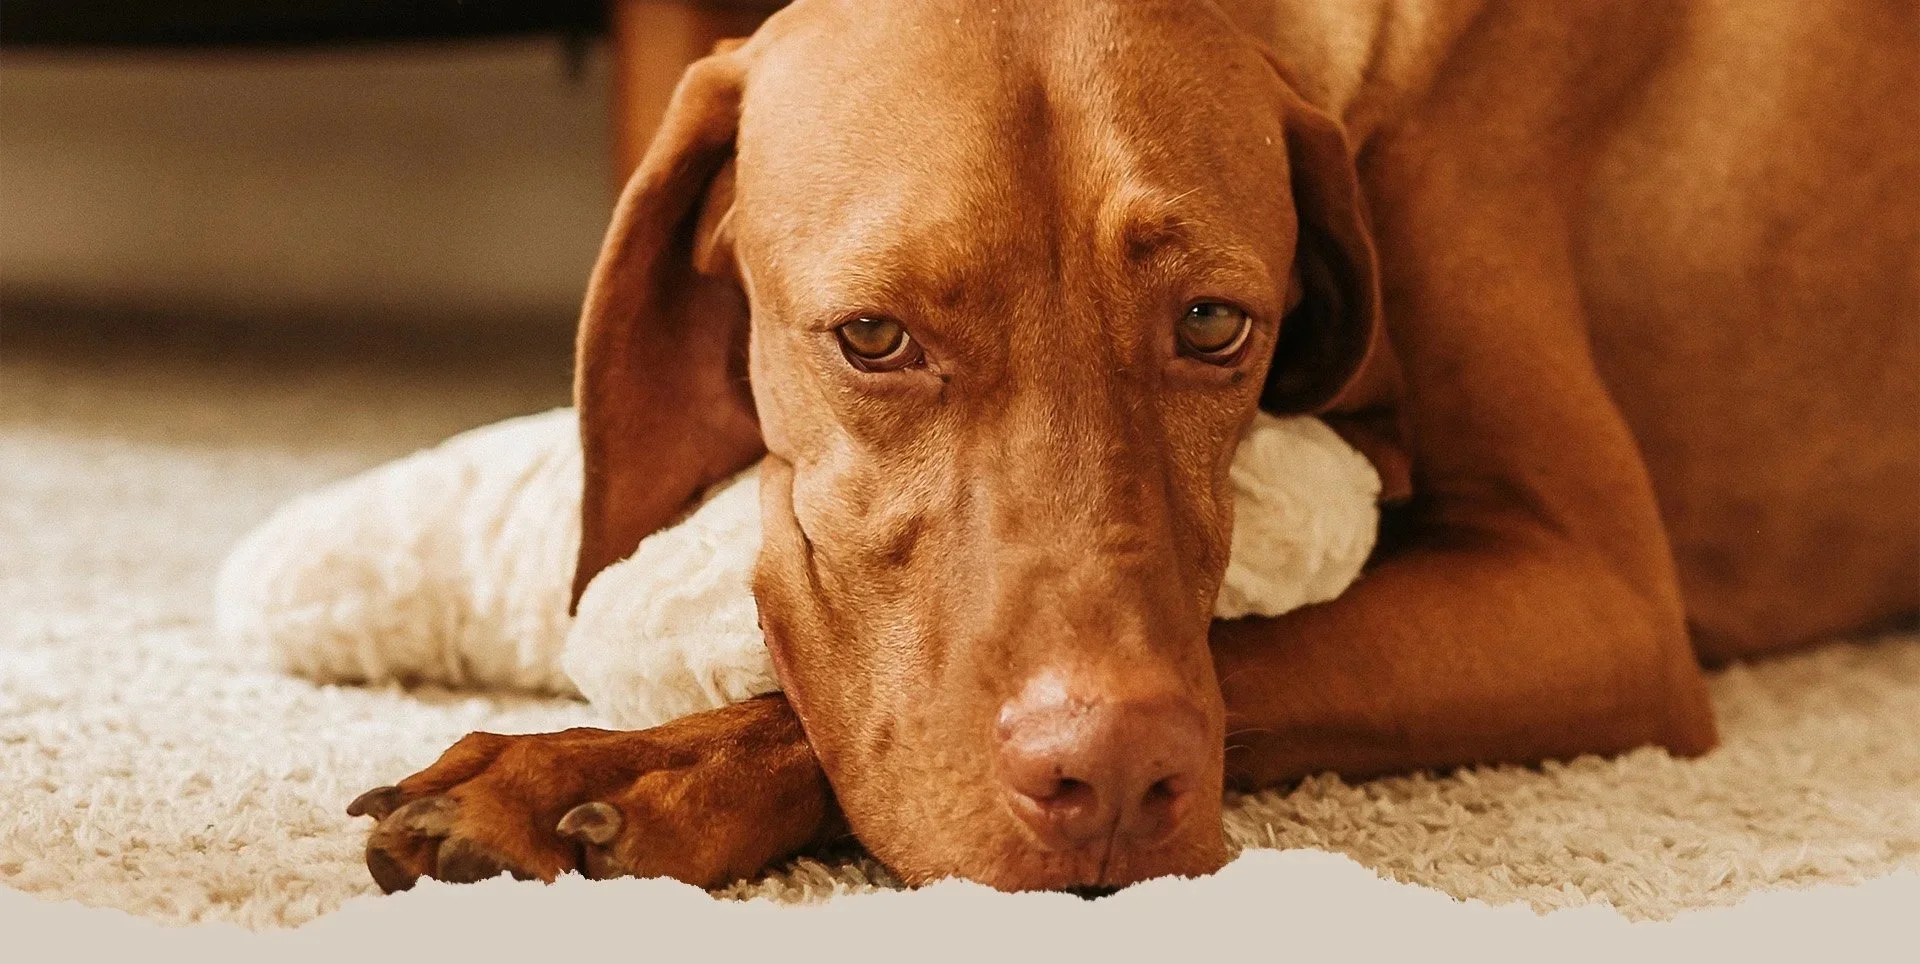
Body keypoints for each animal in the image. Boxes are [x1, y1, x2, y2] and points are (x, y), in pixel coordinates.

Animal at [346, 0, 1918, 894]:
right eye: (872, 338)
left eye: (1217, 322)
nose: (1105, 786)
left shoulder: (1596, 590)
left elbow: (1251, 648)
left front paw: (624, 777)